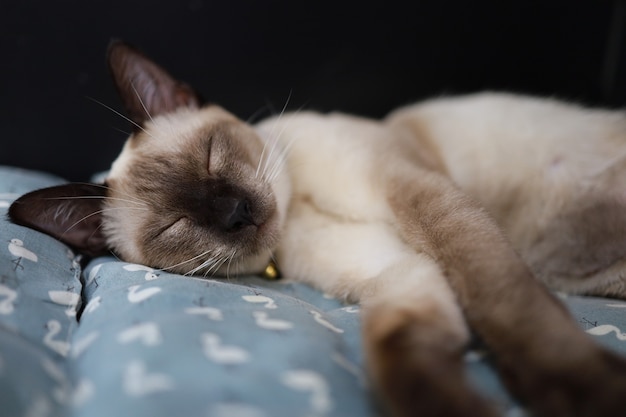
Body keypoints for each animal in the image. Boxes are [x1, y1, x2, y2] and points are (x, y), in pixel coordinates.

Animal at [7, 39, 624, 416]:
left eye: (210, 156)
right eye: (175, 225)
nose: (235, 213)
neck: (297, 210)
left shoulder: (414, 191)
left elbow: (500, 296)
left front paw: (582, 389)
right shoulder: (398, 270)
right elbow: (399, 344)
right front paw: (459, 407)